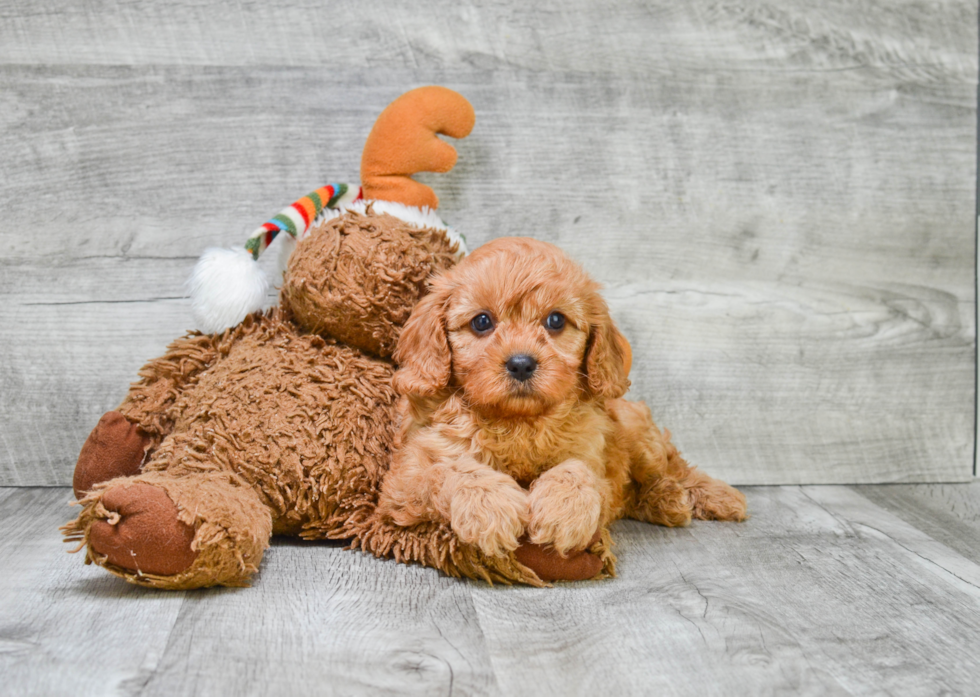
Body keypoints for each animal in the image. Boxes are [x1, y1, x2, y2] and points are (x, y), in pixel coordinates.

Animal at [378, 237, 748, 556]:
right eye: (482, 322)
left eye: (555, 320)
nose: (521, 363)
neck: (518, 421)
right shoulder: (405, 478)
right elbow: (451, 470)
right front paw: (489, 506)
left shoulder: (592, 453)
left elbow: (577, 471)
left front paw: (562, 511)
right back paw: (666, 502)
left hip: (640, 436)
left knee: (673, 466)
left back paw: (706, 496)